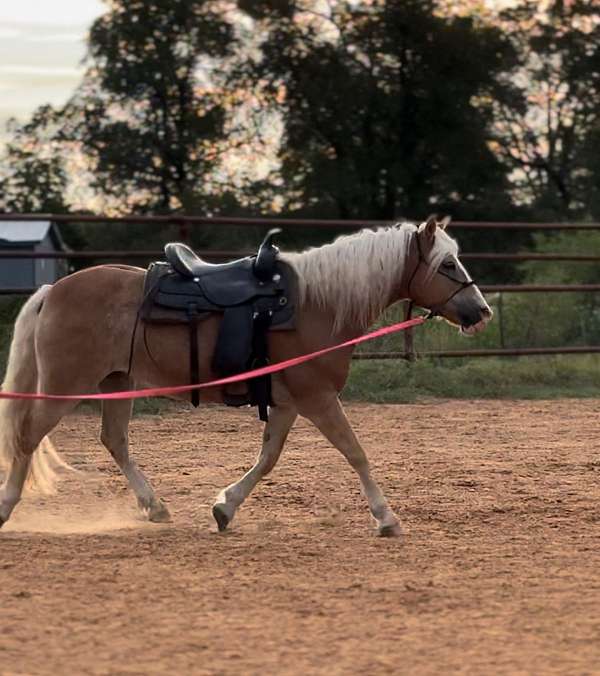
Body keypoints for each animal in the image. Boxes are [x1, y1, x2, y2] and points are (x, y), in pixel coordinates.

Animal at [0, 214, 492, 536]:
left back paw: (155, 506)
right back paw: (7, 508)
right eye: (448, 264)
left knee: (114, 441)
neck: (315, 304)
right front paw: (386, 517)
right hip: (66, 387)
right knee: (28, 437)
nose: (482, 311)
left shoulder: (290, 403)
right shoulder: (318, 399)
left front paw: (225, 508)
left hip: (117, 383)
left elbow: (268, 458)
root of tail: (52, 290)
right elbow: (355, 453)